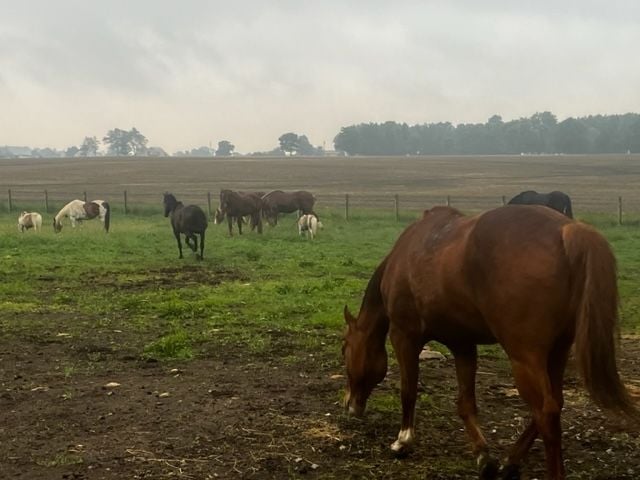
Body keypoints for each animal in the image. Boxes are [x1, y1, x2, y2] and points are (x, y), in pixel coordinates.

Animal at [340, 204, 636, 478]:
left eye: (345, 350)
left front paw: (403, 441)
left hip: (524, 357)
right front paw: (484, 456)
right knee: (554, 404)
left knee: (547, 412)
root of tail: (568, 230)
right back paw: (510, 460)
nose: (350, 405)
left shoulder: (404, 336)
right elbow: (465, 403)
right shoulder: (462, 344)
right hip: (557, 352)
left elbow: (408, 390)